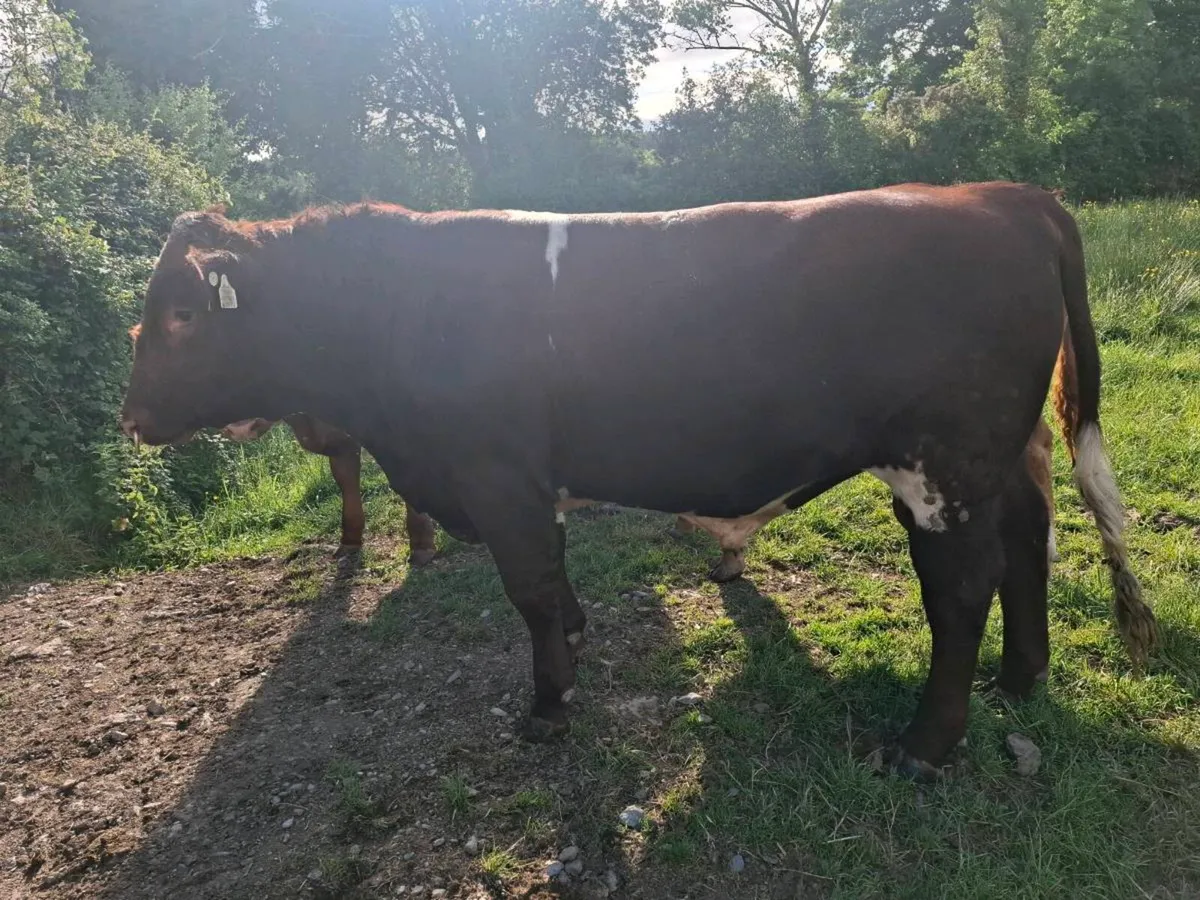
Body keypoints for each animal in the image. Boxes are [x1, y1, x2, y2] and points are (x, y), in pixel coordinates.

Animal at [120, 182, 1156, 778]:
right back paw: (1021, 679)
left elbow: (530, 591)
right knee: (1028, 540)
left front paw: (548, 705)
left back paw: (923, 746)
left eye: (180, 314)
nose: (131, 419)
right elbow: (555, 582)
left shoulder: (495, 473)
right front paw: (575, 652)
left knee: (963, 585)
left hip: (943, 460)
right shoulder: (524, 485)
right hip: (1000, 455)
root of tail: (1001, 194)